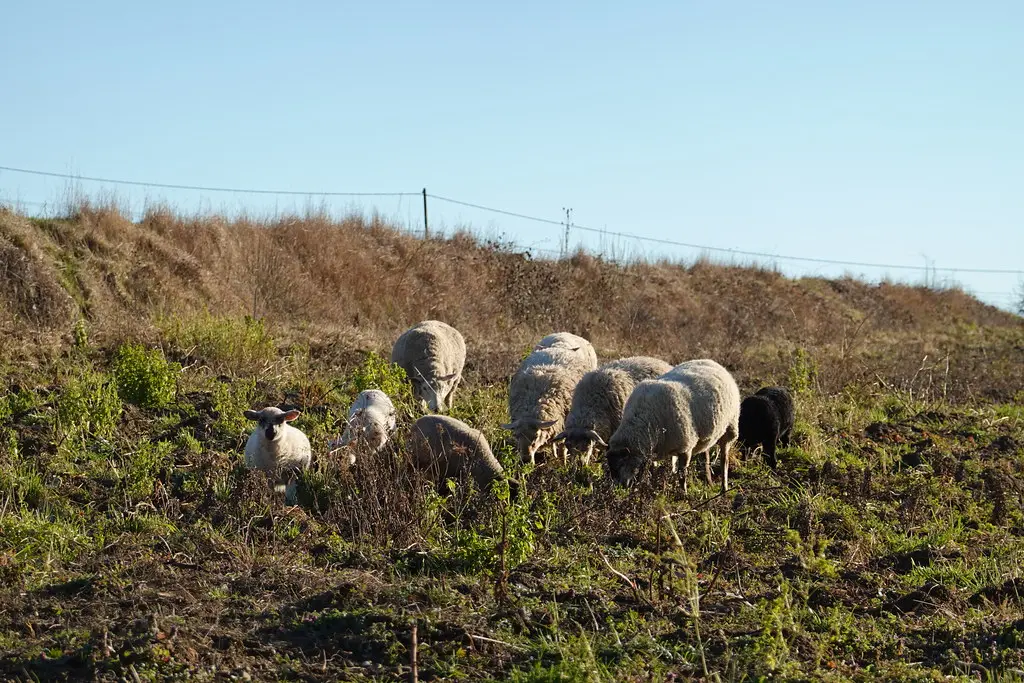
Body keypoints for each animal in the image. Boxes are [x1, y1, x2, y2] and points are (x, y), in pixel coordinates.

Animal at [502, 332, 597, 464]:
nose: (526, 460)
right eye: (516, 436)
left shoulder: (565, 424)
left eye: (536, 436)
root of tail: (563, 334)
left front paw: (563, 463)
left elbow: (563, 447)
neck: (534, 402)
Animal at [606, 359, 740, 493]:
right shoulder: (654, 452)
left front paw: (683, 494)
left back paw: (724, 488)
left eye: (621, 464)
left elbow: (682, 476)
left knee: (724, 460)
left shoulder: (685, 448)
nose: (619, 488)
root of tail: (711, 361)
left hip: (730, 427)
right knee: (706, 453)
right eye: (611, 467)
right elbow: (654, 471)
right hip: (706, 433)